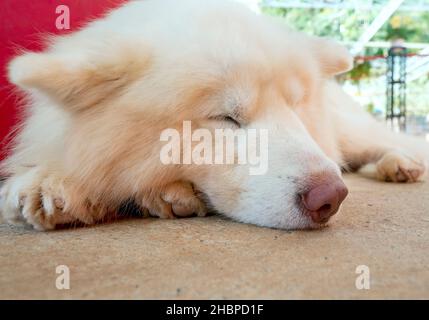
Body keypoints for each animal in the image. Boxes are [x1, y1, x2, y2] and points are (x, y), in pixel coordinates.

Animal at [0, 0, 428, 230]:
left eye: (295, 107)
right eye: (226, 118)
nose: (331, 197)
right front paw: (55, 183)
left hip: (350, 130)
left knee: (380, 143)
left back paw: (398, 163)